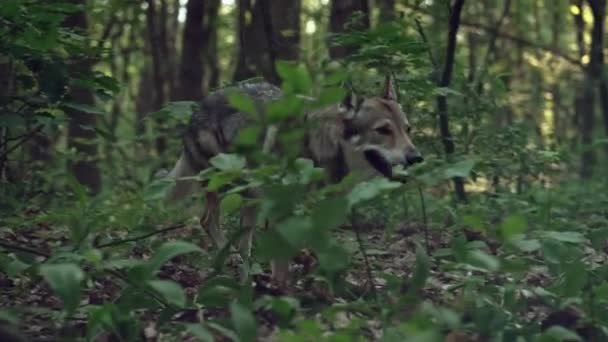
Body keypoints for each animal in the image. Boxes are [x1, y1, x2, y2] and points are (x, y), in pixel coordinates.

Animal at [166, 75, 422, 284]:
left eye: (407, 129)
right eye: (383, 130)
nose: (416, 157)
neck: (319, 148)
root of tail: (199, 105)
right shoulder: (281, 213)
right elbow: (282, 263)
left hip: (252, 203)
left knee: (241, 240)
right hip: (229, 188)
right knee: (208, 221)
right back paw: (233, 264)